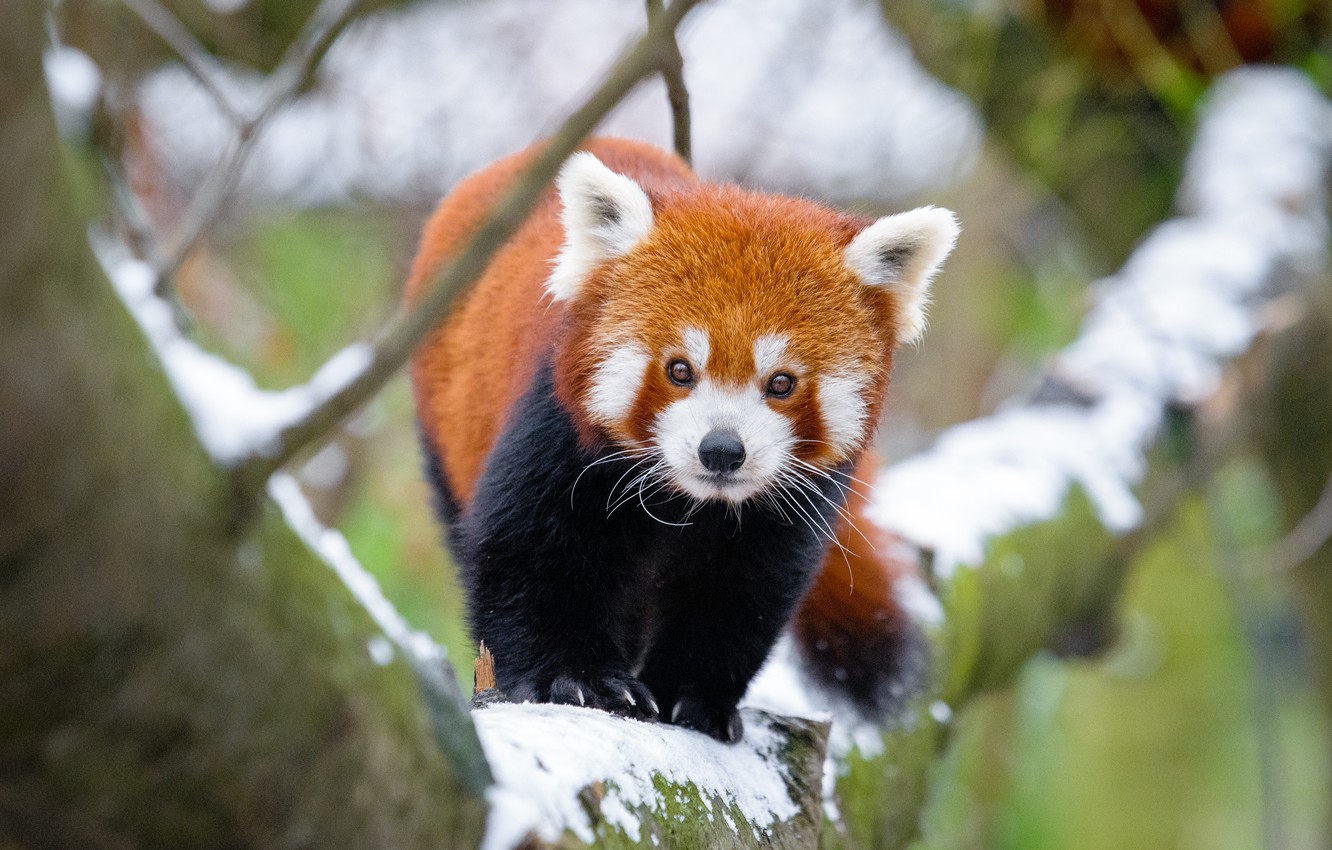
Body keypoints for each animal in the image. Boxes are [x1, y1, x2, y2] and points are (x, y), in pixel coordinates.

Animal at [404, 136, 959, 740]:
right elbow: (526, 554)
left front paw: (691, 698)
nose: (721, 450)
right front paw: (580, 679)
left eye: (781, 383)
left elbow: (738, 595)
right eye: (679, 370)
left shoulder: (785, 509)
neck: (689, 500)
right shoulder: (558, 434)